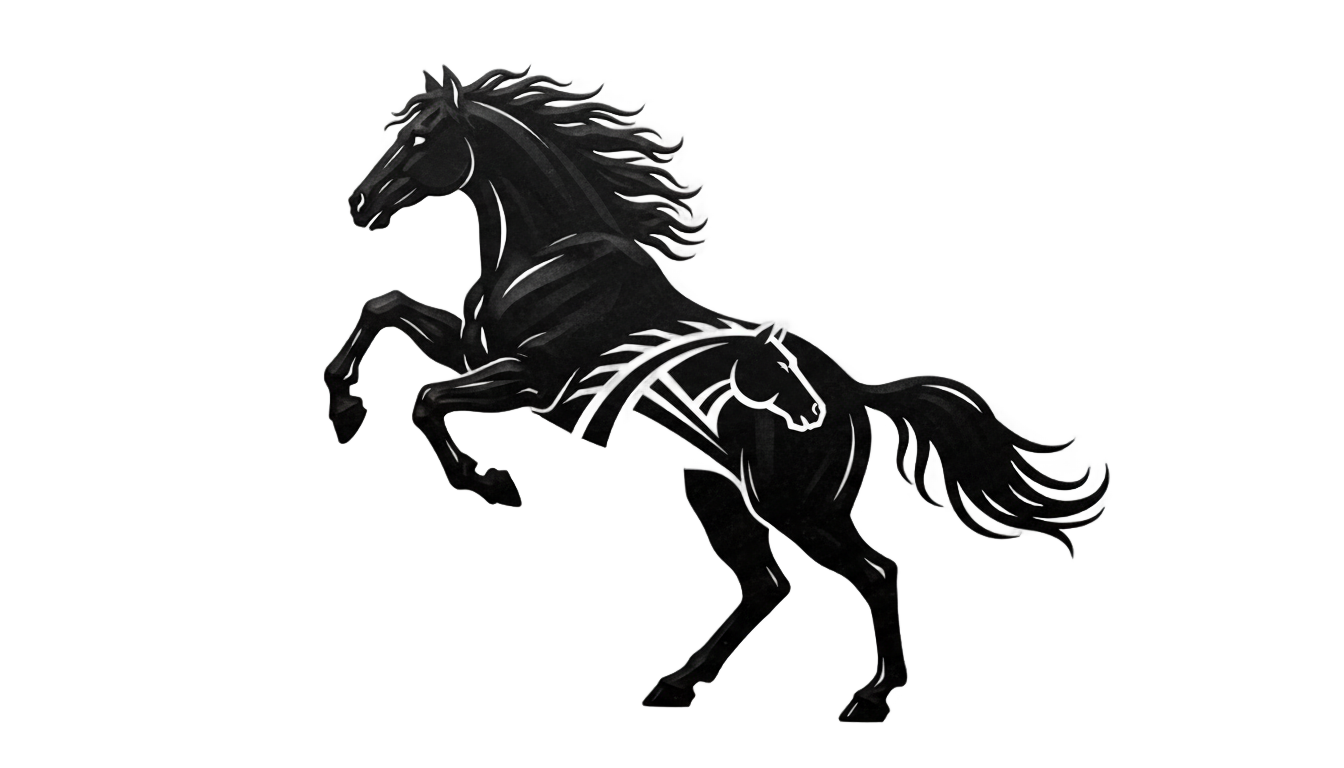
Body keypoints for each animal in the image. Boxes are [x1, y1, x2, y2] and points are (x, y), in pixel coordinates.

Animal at [322, 65, 1110, 722]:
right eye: (398, 127)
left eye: (422, 134)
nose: (359, 203)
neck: (558, 249)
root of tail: (859, 394)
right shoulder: (474, 346)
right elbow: (383, 307)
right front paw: (344, 411)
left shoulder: (533, 375)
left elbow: (428, 400)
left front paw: (491, 483)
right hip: (718, 489)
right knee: (769, 585)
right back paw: (679, 686)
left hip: (797, 504)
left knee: (872, 571)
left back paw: (871, 699)